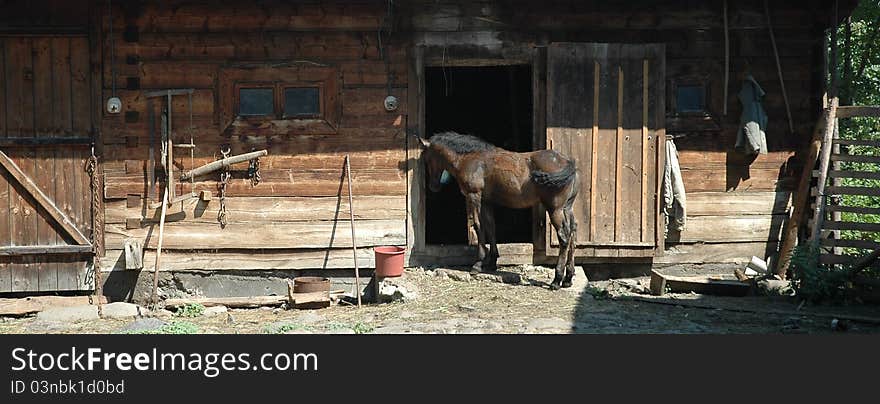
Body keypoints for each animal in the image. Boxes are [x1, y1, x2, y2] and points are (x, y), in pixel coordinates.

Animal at [418, 131, 580, 288]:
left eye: (427, 159)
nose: (433, 186)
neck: (470, 159)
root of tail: (568, 163)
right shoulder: (486, 202)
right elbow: (491, 227)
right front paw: (492, 262)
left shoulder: (474, 196)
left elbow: (477, 225)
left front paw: (478, 264)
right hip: (567, 208)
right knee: (572, 233)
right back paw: (568, 278)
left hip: (555, 209)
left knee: (564, 237)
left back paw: (556, 280)